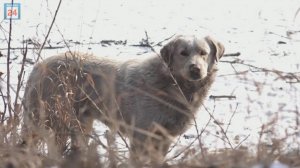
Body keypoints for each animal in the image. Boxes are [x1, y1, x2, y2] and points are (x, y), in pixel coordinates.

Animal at [22, 34, 225, 165]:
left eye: (203, 52)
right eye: (183, 53)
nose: (195, 69)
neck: (171, 85)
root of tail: (38, 66)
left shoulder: (164, 138)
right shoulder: (141, 136)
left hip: (79, 124)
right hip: (50, 120)